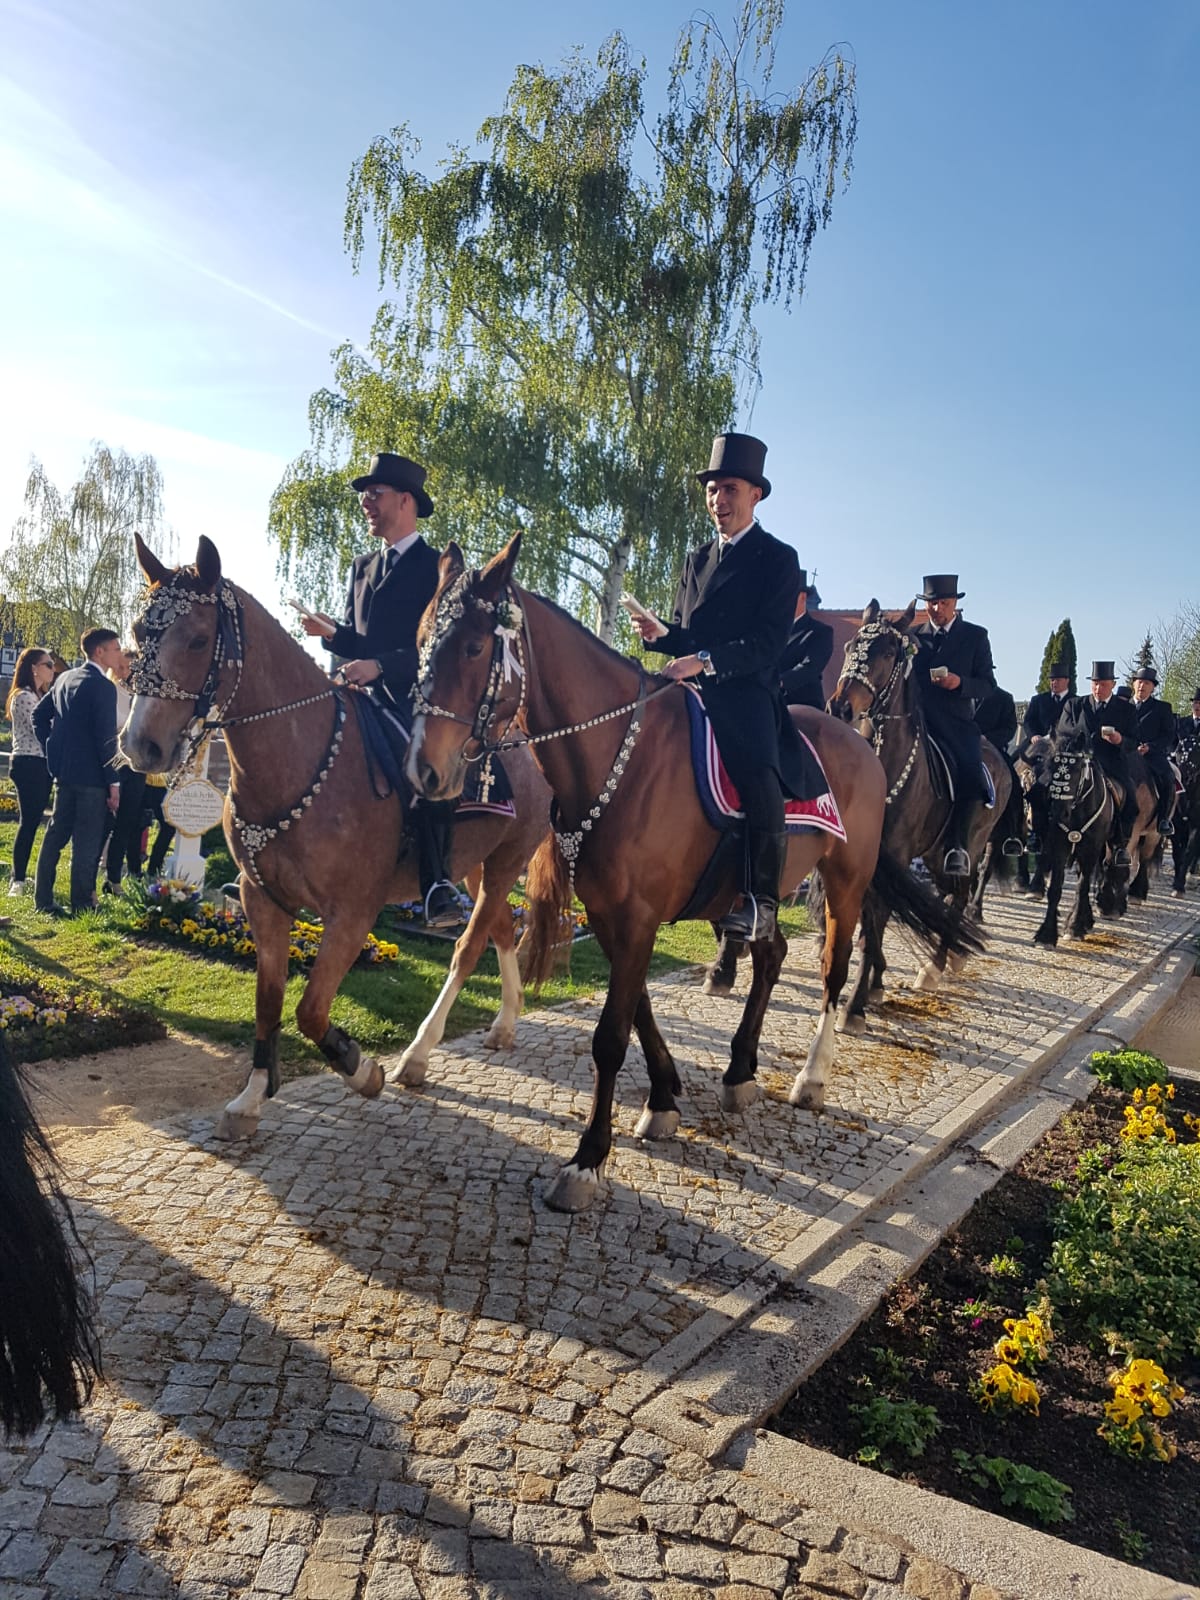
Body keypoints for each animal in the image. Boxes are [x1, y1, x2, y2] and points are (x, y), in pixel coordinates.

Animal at [122, 536, 551, 1139]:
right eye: (141, 631)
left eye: (200, 638)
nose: (141, 745)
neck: (300, 763)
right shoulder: (263, 901)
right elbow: (269, 999)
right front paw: (252, 1096)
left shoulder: (350, 916)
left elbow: (309, 1009)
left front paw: (359, 1067)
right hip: (475, 866)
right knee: (503, 933)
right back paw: (505, 1024)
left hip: (507, 863)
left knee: (469, 948)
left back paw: (418, 1054)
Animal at [403, 536, 978, 1212]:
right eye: (420, 639)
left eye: (472, 647)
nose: (424, 771)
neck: (622, 755)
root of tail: (859, 740)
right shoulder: (614, 914)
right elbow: (639, 1010)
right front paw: (663, 1097)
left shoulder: (638, 916)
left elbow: (609, 1035)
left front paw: (587, 1161)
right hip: (762, 891)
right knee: (772, 955)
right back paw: (740, 1070)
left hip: (847, 881)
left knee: (834, 969)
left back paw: (812, 1074)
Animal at [826, 600, 1010, 1021]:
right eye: (850, 647)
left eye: (887, 653)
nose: (840, 707)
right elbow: (871, 923)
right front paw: (875, 984)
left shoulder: (894, 854)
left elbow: (875, 923)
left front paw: (855, 1006)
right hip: (934, 854)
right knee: (947, 896)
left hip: (965, 849)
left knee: (960, 896)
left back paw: (936, 966)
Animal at [1021, 731, 1111, 945]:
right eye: (1051, 767)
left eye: (1076, 770)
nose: (1057, 813)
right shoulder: (1059, 845)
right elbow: (1056, 887)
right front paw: (1046, 934)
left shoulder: (1091, 849)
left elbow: (1082, 886)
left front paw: (1075, 927)